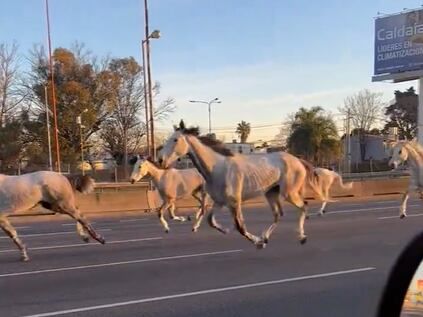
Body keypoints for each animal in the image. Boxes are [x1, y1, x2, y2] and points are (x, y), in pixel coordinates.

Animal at [157, 119, 322, 248]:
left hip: (289, 193)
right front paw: (226, 230)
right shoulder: (220, 202)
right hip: (271, 193)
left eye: (175, 139)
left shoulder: (235, 202)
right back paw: (266, 237)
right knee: (278, 215)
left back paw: (301, 237)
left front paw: (257, 242)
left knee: (303, 207)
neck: (218, 167)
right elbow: (211, 221)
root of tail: (298, 160)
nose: (160, 160)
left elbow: (240, 226)